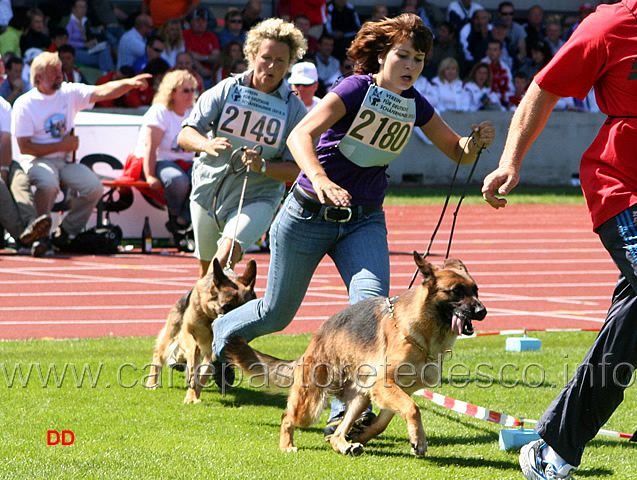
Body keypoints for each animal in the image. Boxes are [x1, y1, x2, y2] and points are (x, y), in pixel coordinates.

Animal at [147, 258, 256, 402]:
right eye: (226, 307)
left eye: (246, 310)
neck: (209, 320)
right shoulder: (186, 333)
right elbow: (194, 350)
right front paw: (192, 378)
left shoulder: (212, 353)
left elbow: (204, 375)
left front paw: (192, 396)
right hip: (171, 336)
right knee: (158, 355)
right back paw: (152, 383)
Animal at [226, 253, 484, 456]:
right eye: (456, 292)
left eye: (476, 290)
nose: (482, 311)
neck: (421, 332)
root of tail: (314, 341)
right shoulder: (385, 384)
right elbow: (413, 408)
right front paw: (419, 441)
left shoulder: (395, 390)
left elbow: (384, 422)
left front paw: (365, 435)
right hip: (311, 404)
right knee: (288, 417)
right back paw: (287, 445)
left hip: (361, 398)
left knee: (337, 431)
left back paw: (345, 444)